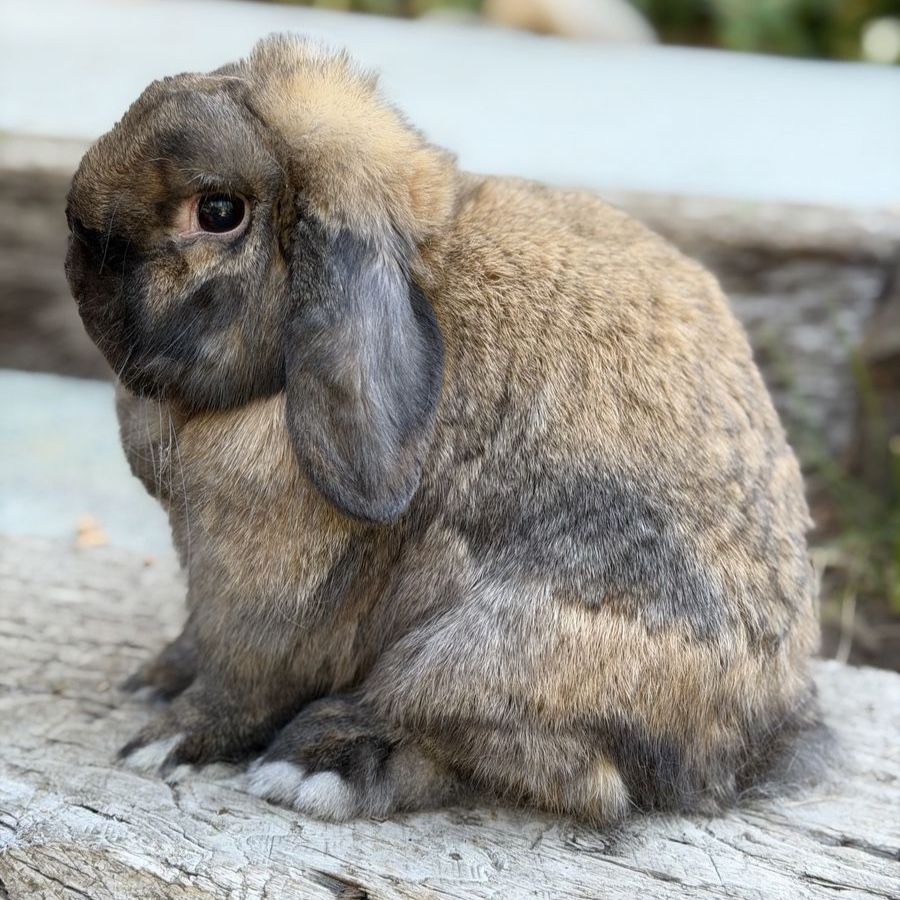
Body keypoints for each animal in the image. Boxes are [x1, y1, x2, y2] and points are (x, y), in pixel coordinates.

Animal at [64, 34, 823, 822]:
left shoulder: (264, 596)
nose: (79, 234)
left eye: (218, 212)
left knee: (530, 764)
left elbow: (241, 680)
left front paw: (166, 741)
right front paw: (155, 678)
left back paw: (318, 764)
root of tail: (759, 733)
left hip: (486, 656)